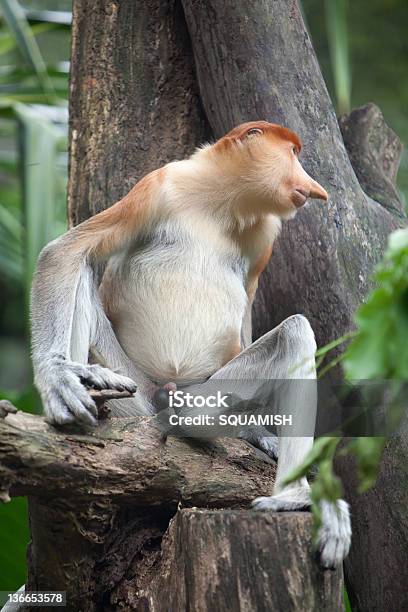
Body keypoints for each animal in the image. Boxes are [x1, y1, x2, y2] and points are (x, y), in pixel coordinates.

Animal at [31, 120, 350, 568]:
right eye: (293, 153)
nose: (313, 187)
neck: (222, 204)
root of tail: (168, 394)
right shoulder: (158, 186)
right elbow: (65, 251)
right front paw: (58, 379)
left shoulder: (265, 238)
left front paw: (258, 433)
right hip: (136, 394)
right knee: (86, 267)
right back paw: (91, 390)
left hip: (207, 394)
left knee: (292, 334)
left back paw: (289, 492)